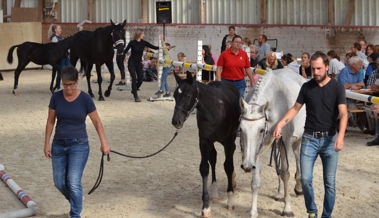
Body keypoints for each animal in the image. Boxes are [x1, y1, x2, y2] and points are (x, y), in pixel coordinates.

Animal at [172, 72, 240, 217]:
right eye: (174, 95)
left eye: (187, 95)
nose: (176, 121)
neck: (215, 111)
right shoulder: (204, 140)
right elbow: (204, 168)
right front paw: (205, 207)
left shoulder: (228, 141)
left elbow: (228, 166)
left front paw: (230, 201)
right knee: (213, 159)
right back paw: (214, 192)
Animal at [242, 69, 308, 218]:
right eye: (241, 129)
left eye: (261, 129)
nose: (246, 166)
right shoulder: (259, 149)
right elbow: (256, 182)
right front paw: (253, 212)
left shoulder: (286, 142)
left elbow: (285, 174)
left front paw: (287, 208)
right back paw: (279, 193)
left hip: (297, 140)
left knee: (297, 157)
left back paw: (298, 187)